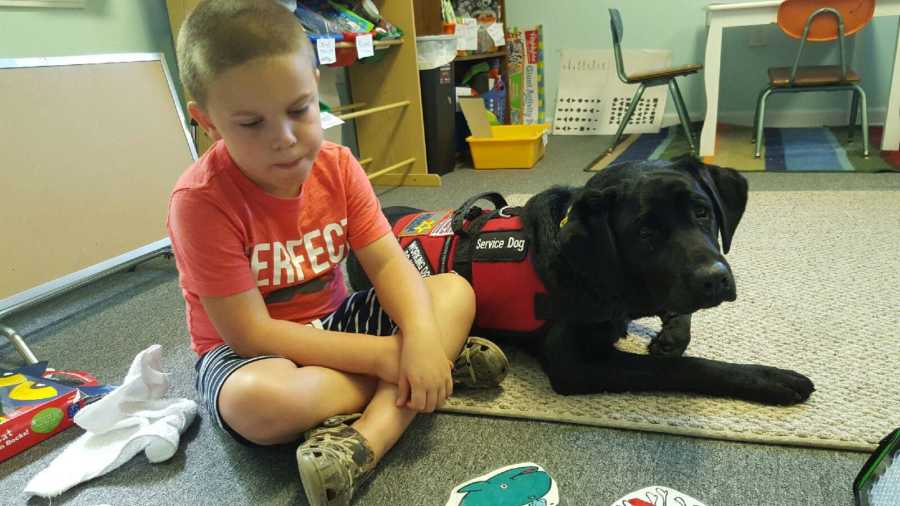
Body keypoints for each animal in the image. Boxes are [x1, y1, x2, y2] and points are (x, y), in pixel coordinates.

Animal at [346, 156, 816, 406]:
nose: (715, 279)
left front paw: (670, 334)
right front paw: (770, 379)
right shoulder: (575, 363)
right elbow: (684, 367)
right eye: (645, 233)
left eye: (702, 212)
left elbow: (673, 316)